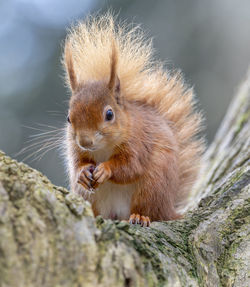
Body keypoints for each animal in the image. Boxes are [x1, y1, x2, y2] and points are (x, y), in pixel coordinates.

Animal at [62, 14, 203, 227]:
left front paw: (105, 170)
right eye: (69, 118)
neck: (103, 148)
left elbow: (131, 167)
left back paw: (140, 216)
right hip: (89, 197)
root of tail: (168, 209)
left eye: (109, 114)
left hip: (153, 185)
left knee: (148, 209)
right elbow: (77, 163)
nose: (85, 142)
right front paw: (82, 173)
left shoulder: (138, 142)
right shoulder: (75, 149)